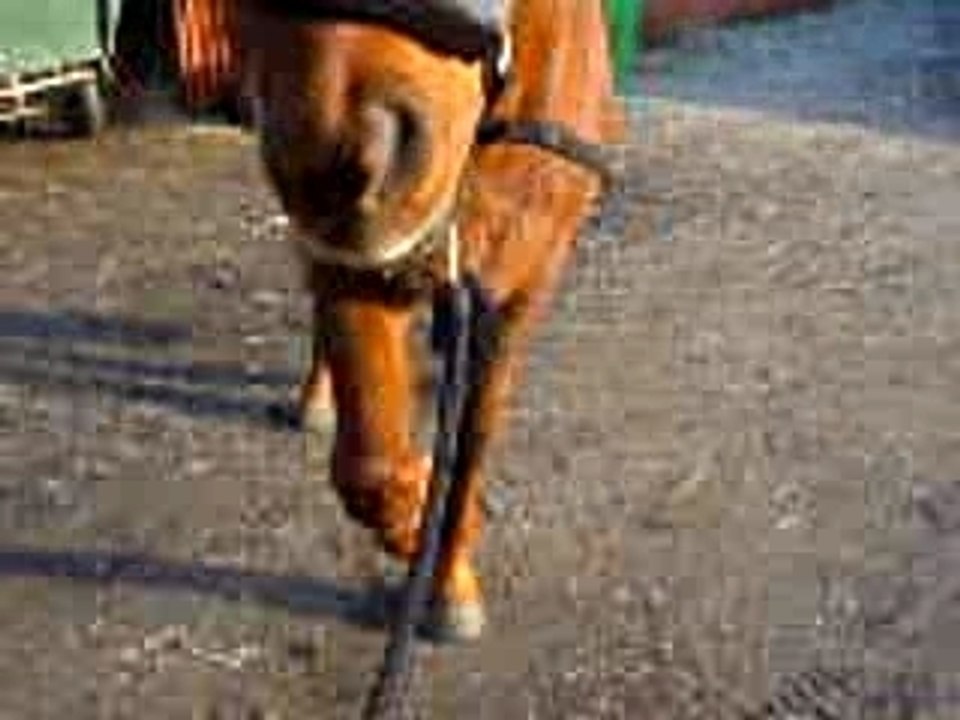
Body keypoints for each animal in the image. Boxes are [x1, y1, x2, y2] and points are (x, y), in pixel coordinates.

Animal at [236, 0, 626, 641]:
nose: (329, 163)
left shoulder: (512, 304)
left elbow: (471, 446)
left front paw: (449, 584)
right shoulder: (363, 272)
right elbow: (369, 467)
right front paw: (414, 517)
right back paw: (315, 400)